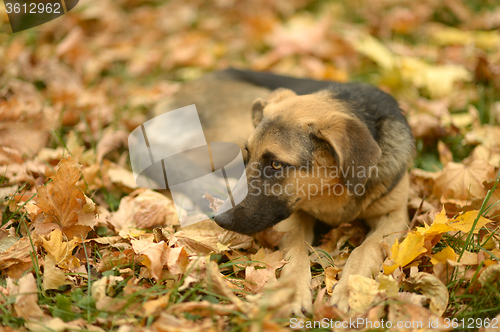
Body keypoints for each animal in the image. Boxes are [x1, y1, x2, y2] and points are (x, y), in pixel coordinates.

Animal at [156, 68, 414, 316]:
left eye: (276, 165)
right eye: (249, 154)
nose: (220, 218)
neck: (332, 192)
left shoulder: (395, 215)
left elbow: (366, 248)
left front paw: (352, 289)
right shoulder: (294, 214)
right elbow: (295, 251)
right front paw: (292, 291)